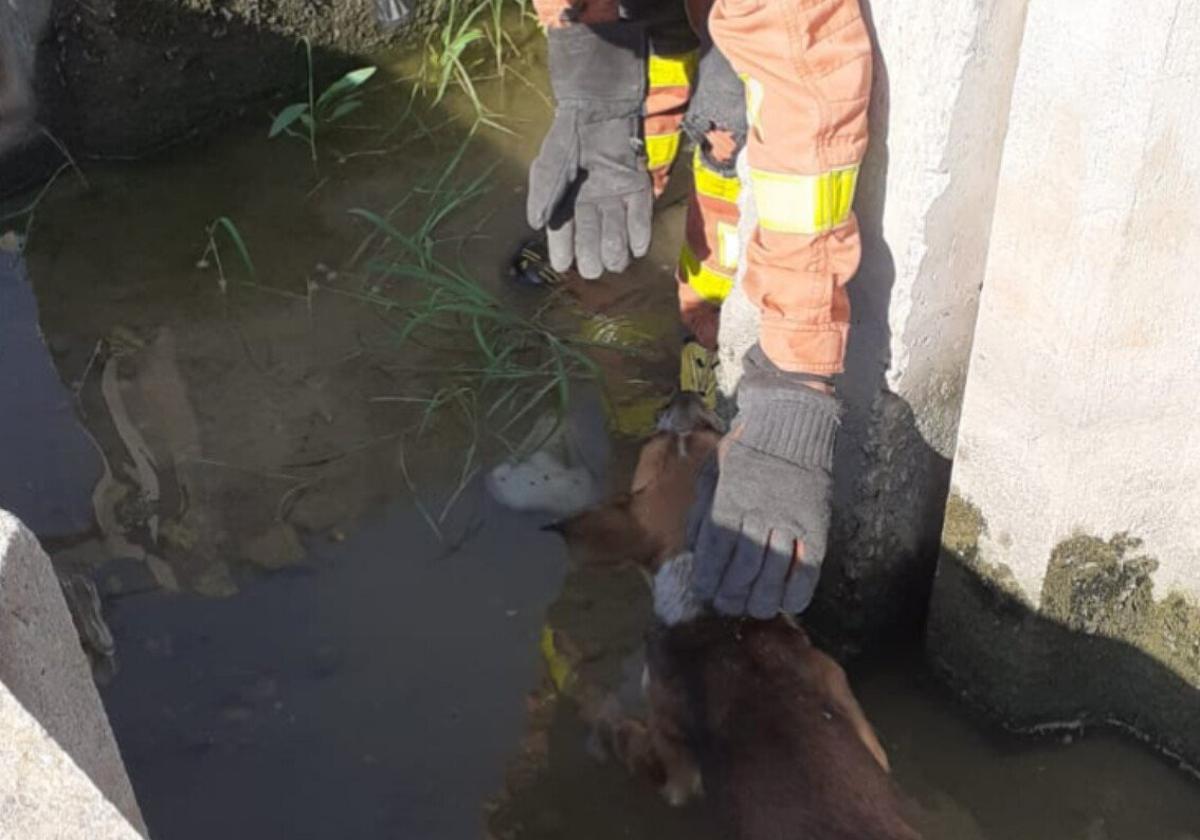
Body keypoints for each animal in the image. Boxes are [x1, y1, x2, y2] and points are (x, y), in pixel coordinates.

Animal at [552, 393, 916, 840]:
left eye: (657, 440)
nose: (683, 397)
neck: (716, 620)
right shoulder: (844, 695)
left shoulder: (669, 758)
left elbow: (621, 729)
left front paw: (588, 703)